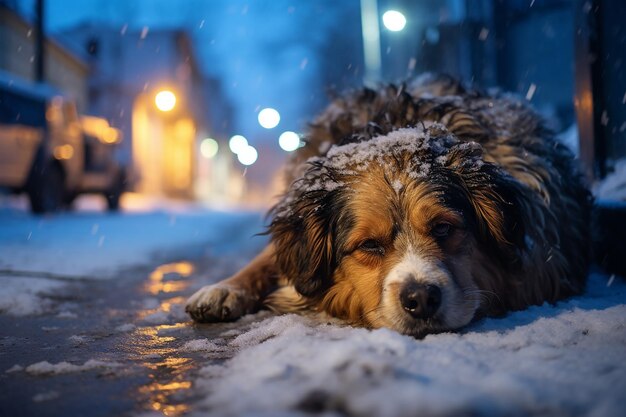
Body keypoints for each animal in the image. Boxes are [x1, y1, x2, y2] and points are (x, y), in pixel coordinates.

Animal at [183, 73, 588, 336]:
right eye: (368, 245)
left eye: (444, 227)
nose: (421, 298)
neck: (396, 126)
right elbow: (269, 259)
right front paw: (225, 288)